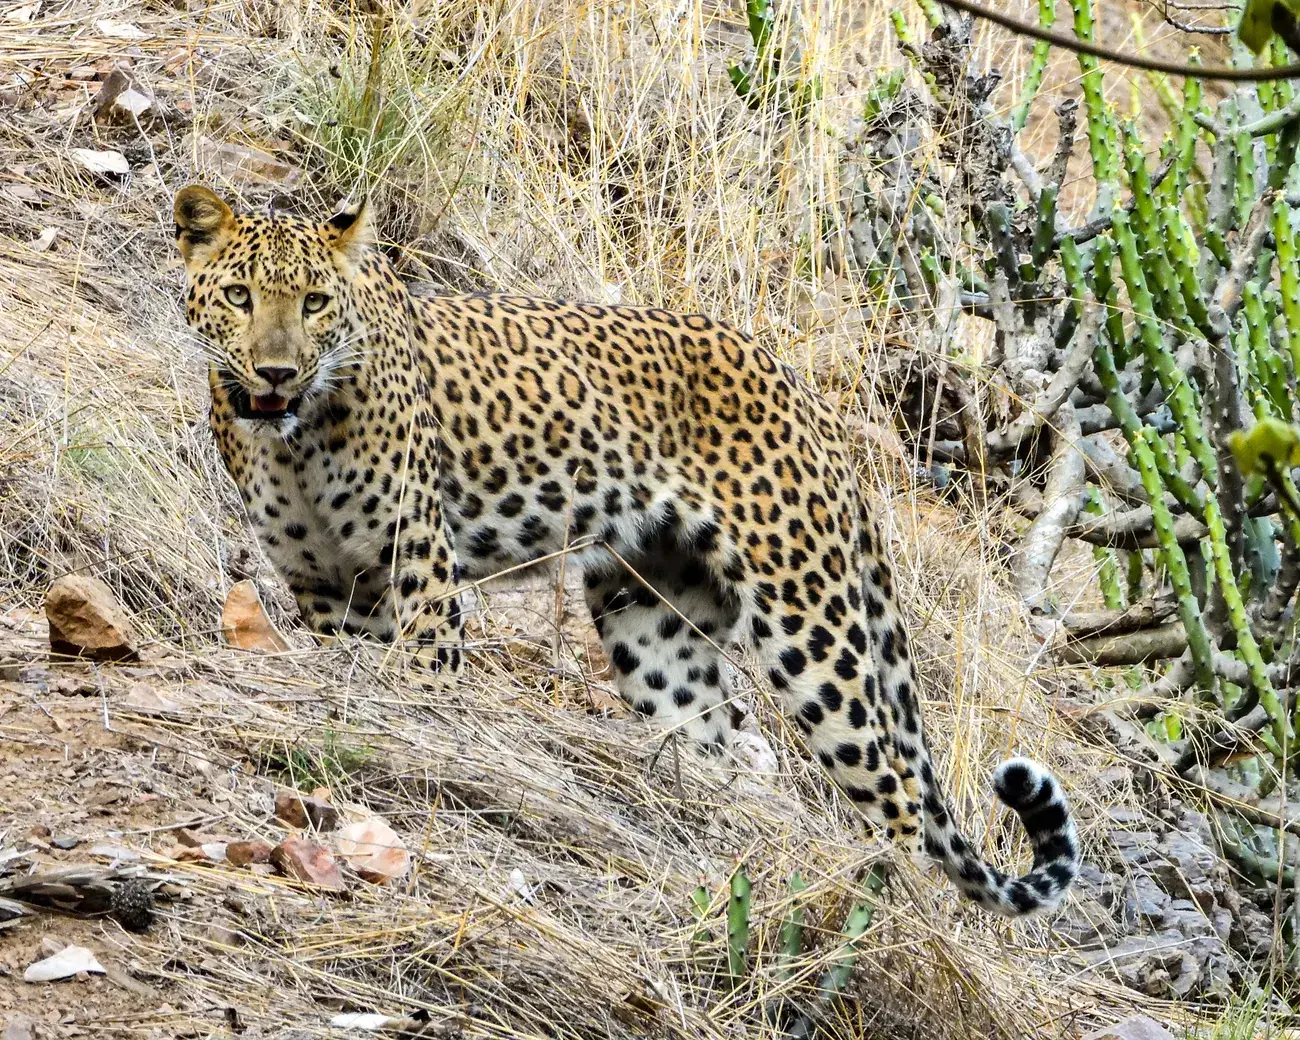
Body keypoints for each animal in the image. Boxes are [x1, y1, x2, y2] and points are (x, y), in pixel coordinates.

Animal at [173, 184, 1079, 916]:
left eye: (316, 301)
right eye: (241, 296)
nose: (276, 372)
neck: (296, 439)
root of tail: (806, 396)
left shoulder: (419, 566)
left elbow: (423, 682)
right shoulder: (326, 589)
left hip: (810, 624)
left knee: (892, 792)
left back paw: (887, 916)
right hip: (654, 625)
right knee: (720, 744)